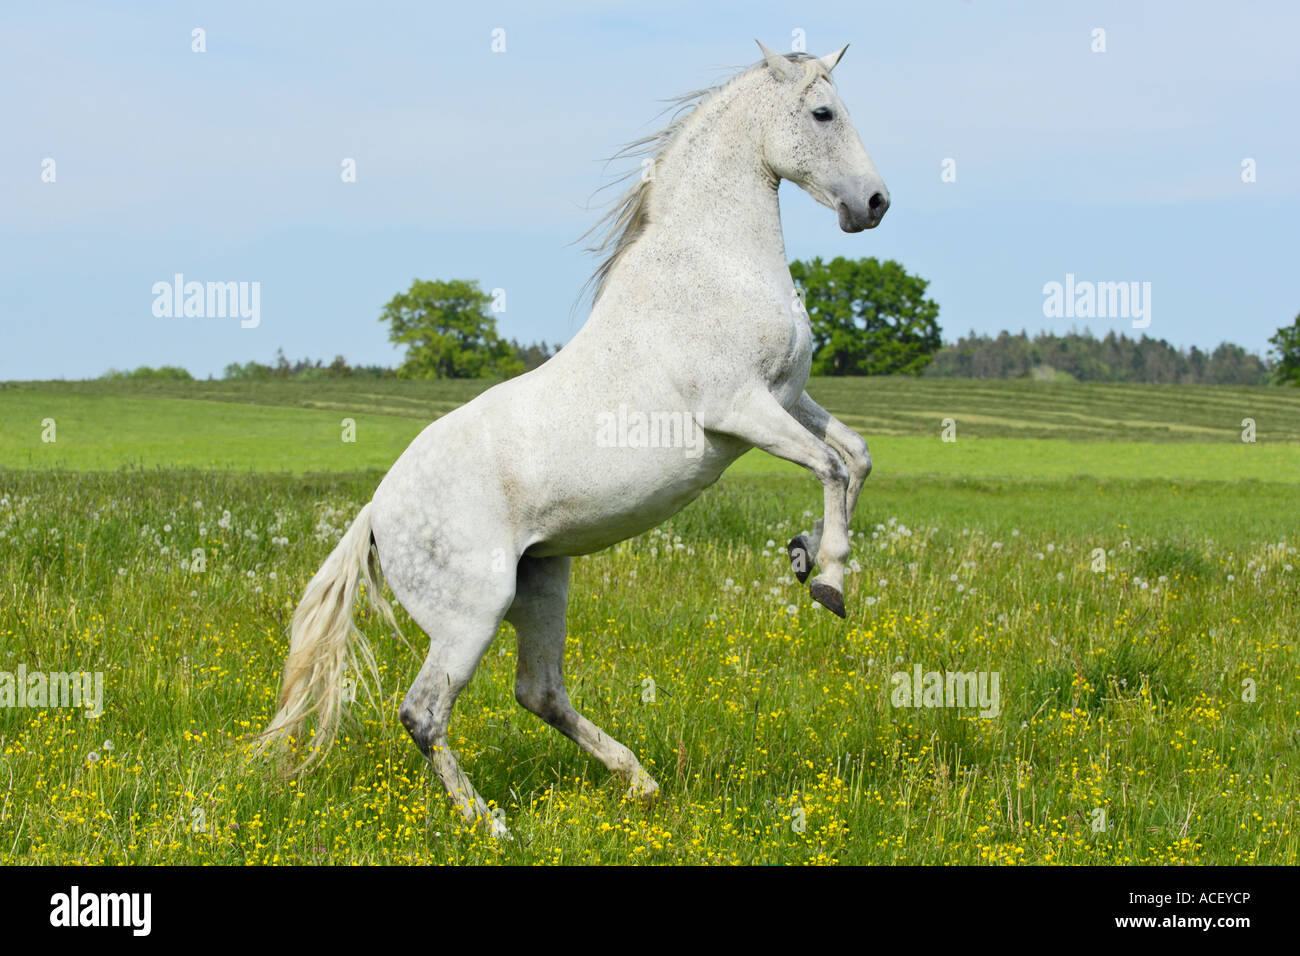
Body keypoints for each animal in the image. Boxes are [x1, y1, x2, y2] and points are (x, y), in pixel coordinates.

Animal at [263, 42, 894, 837]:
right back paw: (492, 824)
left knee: (538, 691)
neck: (710, 269)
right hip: (473, 613)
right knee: (424, 712)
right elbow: (832, 469)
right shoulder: (742, 410)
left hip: (543, 581)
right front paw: (832, 582)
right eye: (822, 113)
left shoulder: (788, 398)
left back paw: (640, 781)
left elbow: (857, 457)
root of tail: (377, 514)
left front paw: (804, 554)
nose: (873, 204)